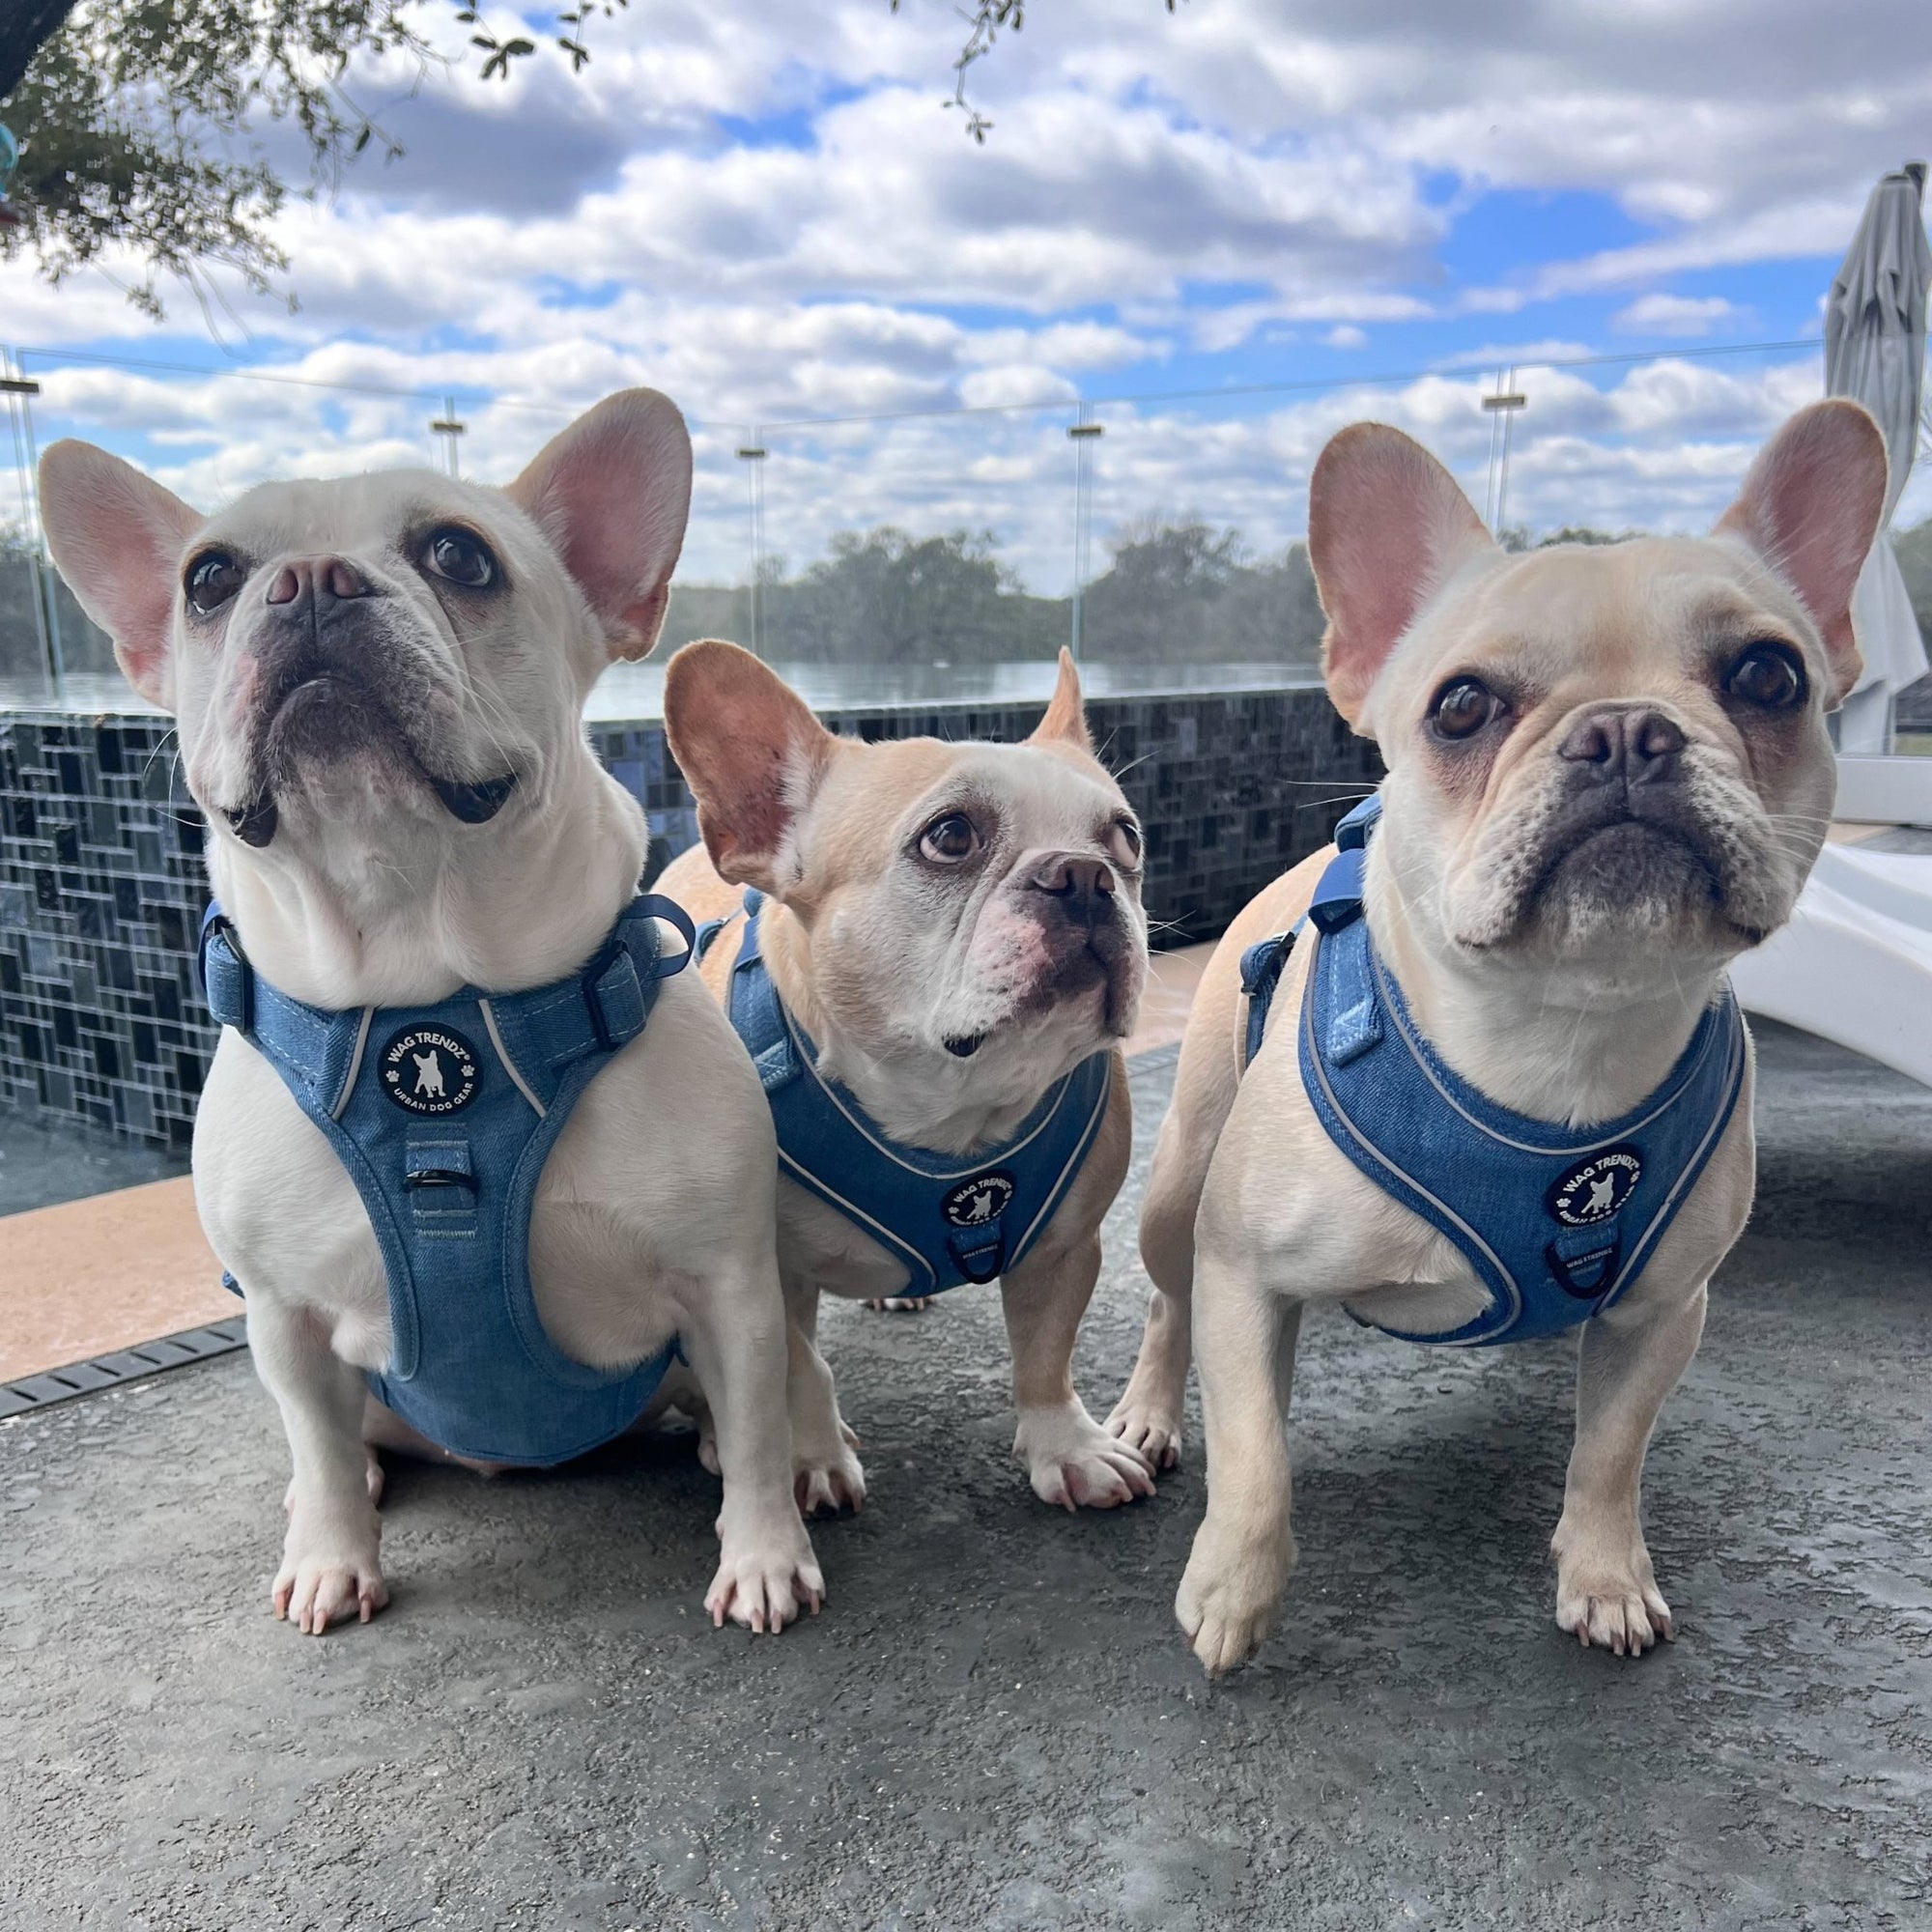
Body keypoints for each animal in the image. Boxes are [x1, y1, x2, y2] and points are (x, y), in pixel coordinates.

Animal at [40, 400, 823, 1638]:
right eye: (208, 577)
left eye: (460, 555)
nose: (309, 579)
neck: (430, 1001)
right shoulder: (281, 1312)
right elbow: (312, 1434)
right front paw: (330, 1553)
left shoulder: (727, 1282)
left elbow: (752, 1422)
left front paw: (760, 1553)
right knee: (330, 1437)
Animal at [657, 649, 1151, 1522]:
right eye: (950, 837)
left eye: (1124, 837)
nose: (1085, 876)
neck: (951, 1104)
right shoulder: (763, 1273)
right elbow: (800, 1369)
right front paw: (811, 1457)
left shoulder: (1066, 1246)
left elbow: (1047, 1352)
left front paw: (1069, 1449)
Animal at [1105, 400, 1886, 1669]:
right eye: (1461, 705)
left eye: (1766, 674)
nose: (1624, 731)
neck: (1558, 1031)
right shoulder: (1243, 1275)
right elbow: (1257, 1464)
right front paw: (1229, 1590)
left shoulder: (1663, 1309)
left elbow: (1611, 1450)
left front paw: (1604, 1573)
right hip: (1180, 1186)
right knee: (1171, 1309)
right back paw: (1143, 1412)